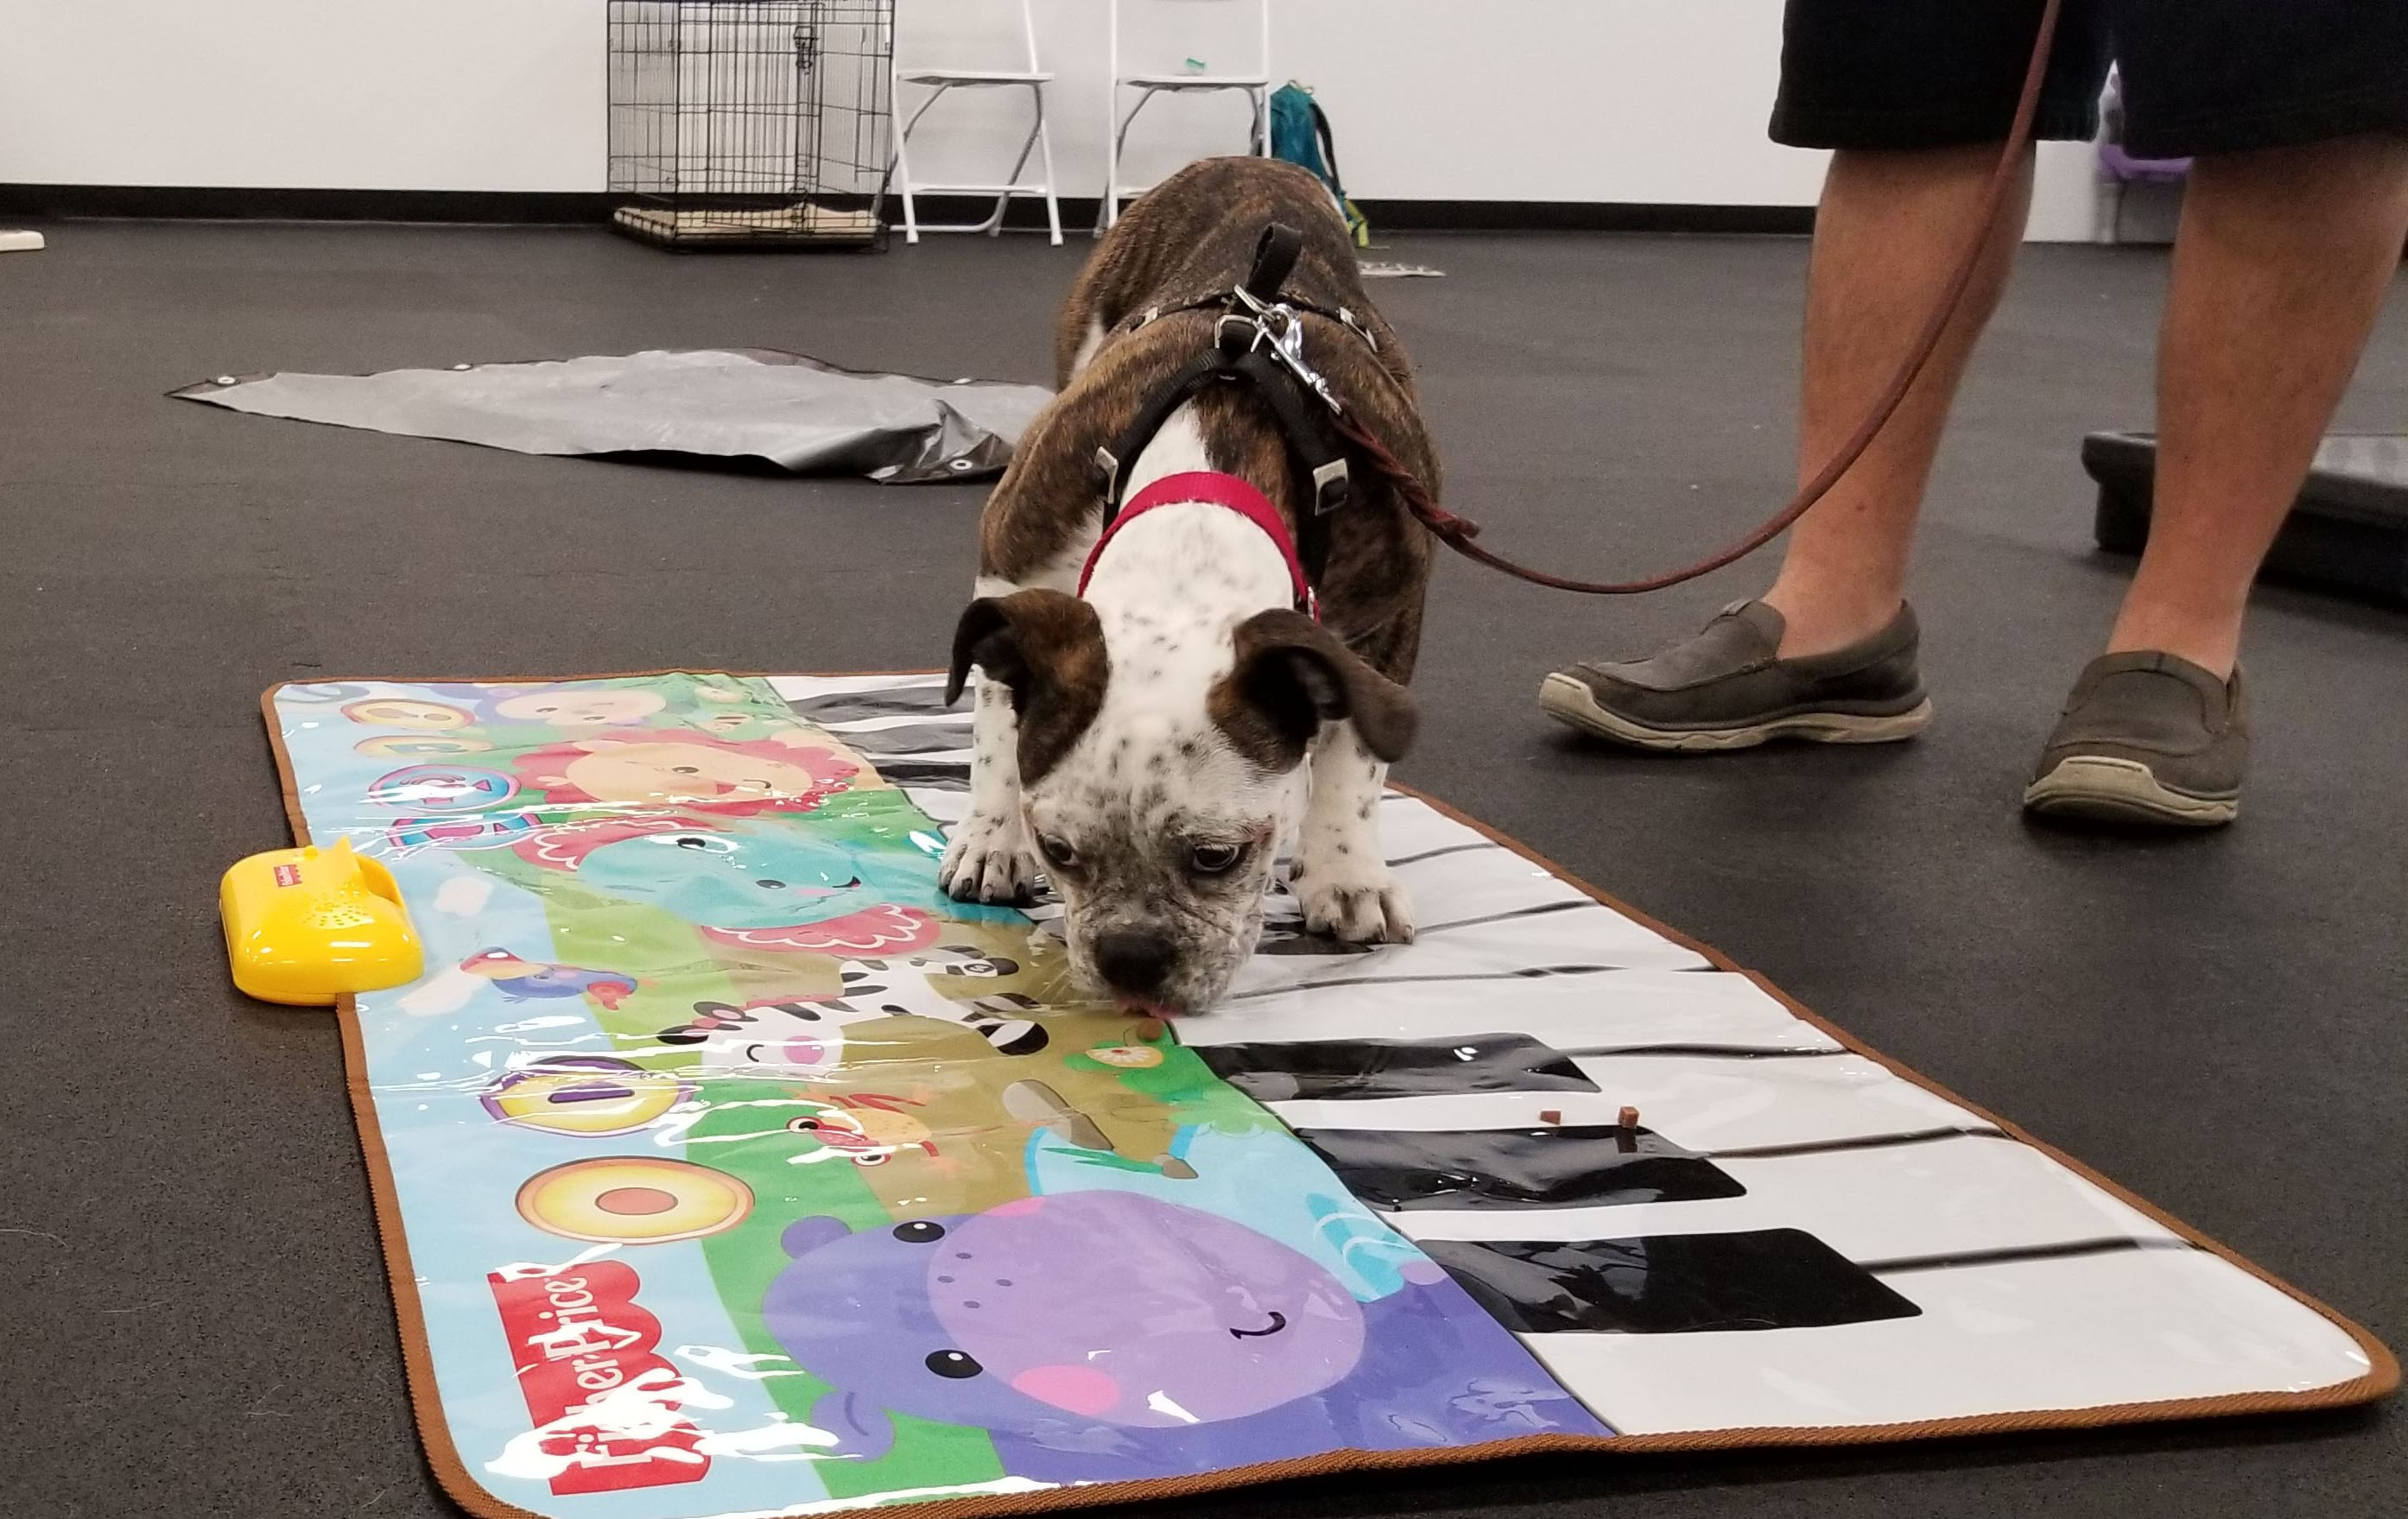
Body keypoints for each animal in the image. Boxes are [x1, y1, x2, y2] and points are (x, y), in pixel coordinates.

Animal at [934, 154, 1425, 1016]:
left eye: (1217, 857)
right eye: (1059, 849)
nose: (1131, 955)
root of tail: (1253, 161)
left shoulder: (1392, 610)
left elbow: (1358, 753)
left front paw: (1347, 869)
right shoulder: (1013, 557)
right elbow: (996, 707)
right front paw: (992, 834)